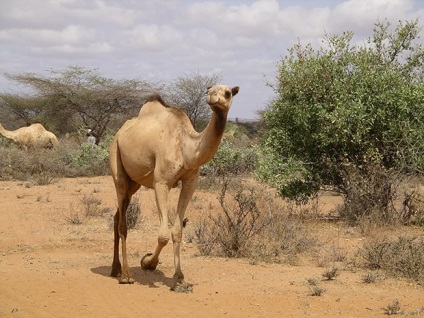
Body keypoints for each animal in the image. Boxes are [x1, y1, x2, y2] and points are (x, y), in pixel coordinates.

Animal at [108, 84, 238, 290]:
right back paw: (126, 275)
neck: (186, 149)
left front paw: (179, 279)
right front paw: (148, 262)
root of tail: (119, 132)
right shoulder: (161, 182)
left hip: (133, 183)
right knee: (122, 223)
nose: (212, 98)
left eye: (228, 93)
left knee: (116, 217)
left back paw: (115, 269)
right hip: (117, 165)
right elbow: (163, 234)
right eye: (209, 90)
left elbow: (177, 230)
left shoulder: (190, 183)